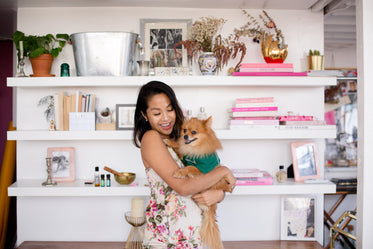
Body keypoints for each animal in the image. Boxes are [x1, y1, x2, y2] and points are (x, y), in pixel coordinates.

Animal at [166, 116, 234, 249]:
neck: (194, 149)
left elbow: (190, 167)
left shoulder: (203, 170)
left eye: (193, 132)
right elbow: (179, 147)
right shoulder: (185, 156)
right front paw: (170, 142)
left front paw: (180, 172)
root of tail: (211, 209)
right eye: (184, 130)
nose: (185, 136)